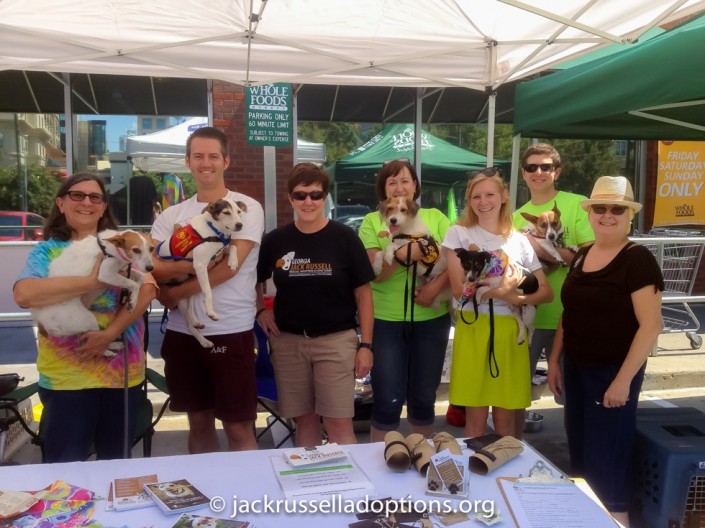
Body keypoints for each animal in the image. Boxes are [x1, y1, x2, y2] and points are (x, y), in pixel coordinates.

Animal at [157, 197, 248, 346]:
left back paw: (197, 325)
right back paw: (203, 339)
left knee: (190, 311)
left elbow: (233, 247)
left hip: (191, 287)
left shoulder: (218, 252)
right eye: (226, 212)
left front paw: (233, 262)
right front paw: (210, 312)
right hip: (183, 296)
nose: (240, 225)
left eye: (239, 211)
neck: (214, 231)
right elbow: (208, 291)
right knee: (189, 325)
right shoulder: (200, 265)